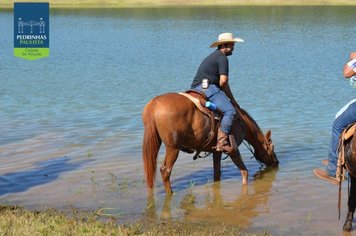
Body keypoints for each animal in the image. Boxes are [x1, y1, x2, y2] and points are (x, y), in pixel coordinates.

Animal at [142, 92, 278, 194]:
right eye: (272, 147)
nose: (276, 163)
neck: (242, 122)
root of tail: (155, 102)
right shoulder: (233, 149)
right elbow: (244, 171)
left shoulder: (216, 151)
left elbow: (217, 174)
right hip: (173, 148)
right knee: (166, 171)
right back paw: (170, 193)